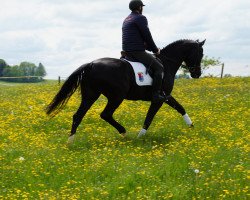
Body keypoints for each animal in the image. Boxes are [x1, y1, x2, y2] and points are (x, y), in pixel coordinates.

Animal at [46, 38, 205, 142]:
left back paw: (71, 141)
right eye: (200, 53)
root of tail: (91, 64)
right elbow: (149, 118)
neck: (166, 64)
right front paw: (140, 137)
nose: (197, 74)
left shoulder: (166, 96)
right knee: (105, 114)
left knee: (78, 115)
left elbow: (180, 108)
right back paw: (124, 132)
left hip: (91, 95)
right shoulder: (159, 98)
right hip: (116, 96)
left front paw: (191, 126)